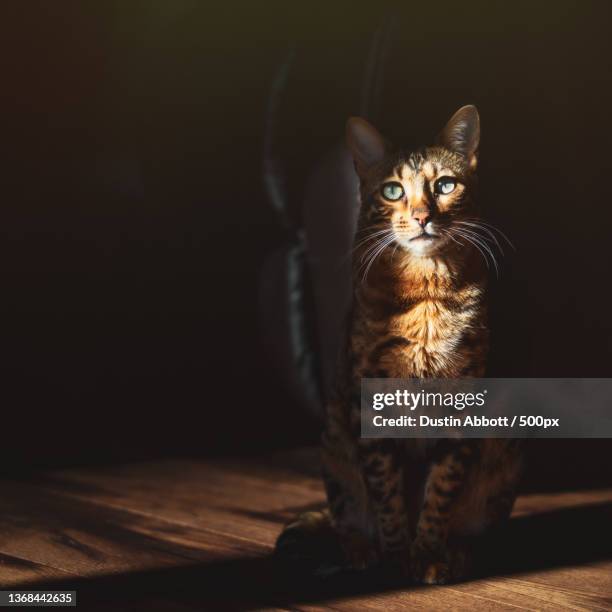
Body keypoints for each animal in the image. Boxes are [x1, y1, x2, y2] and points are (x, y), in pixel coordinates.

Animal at [274, 107, 524, 584]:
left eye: (444, 185)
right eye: (392, 190)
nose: (423, 216)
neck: (426, 295)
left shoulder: (462, 406)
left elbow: (440, 491)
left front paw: (426, 553)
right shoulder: (368, 405)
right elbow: (387, 495)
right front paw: (394, 557)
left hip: (503, 459)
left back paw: (459, 551)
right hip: (335, 447)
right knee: (345, 518)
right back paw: (359, 549)